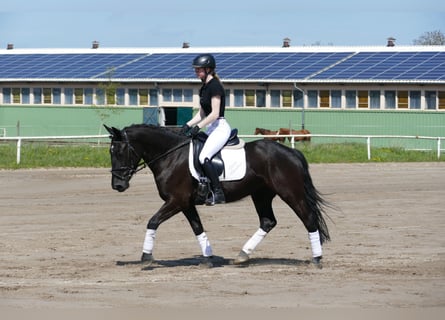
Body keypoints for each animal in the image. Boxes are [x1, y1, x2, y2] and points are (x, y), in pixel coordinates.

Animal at [102, 124, 328, 268]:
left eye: (120, 152)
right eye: (110, 152)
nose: (118, 185)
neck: (171, 155)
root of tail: (291, 152)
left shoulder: (176, 201)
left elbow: (153, 221)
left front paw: (146, 256)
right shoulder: (185, 204)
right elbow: (197, 228)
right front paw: (208, 258)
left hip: (290, 193)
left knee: (308, 219)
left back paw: (316, 259)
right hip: (261, 195)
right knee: (268, 221)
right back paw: (242, 255)